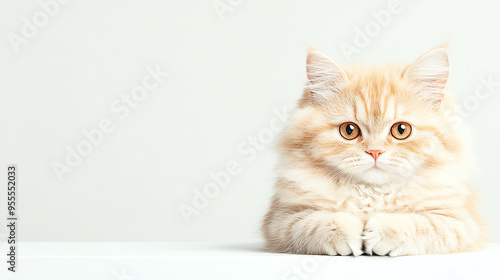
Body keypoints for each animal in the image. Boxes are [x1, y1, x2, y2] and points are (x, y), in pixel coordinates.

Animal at [264, 46, 486, 256]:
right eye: (349, 131)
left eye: (401, 130)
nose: (375, 152)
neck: (373, 194)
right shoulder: (281, 220)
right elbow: (318, 223)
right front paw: (352, 233)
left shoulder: (461, 222)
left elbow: (419, 224)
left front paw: (379, 232)